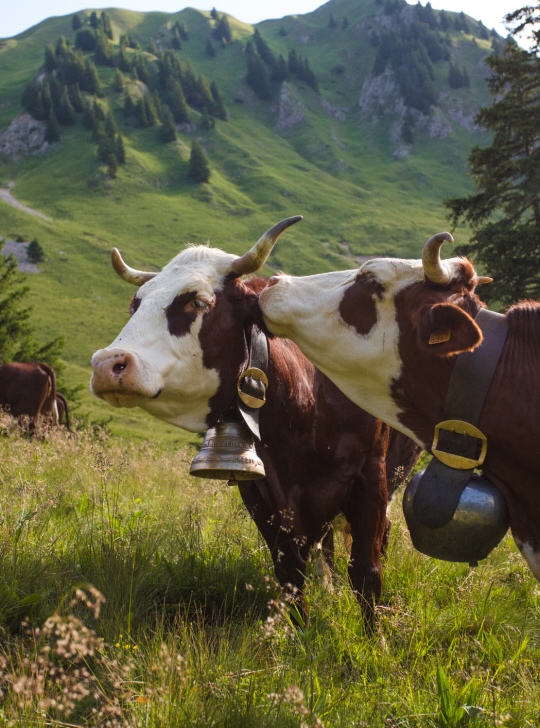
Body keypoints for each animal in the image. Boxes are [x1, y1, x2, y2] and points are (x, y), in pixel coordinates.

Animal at [90, 218, 420, 631]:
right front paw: (301, 633)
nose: (107, 364)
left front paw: (373, 636)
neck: (303, 410)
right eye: (134, 305)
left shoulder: (370, 478)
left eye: (197, 301)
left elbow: (366, 572)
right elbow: (290, 573)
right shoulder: (259, 491)